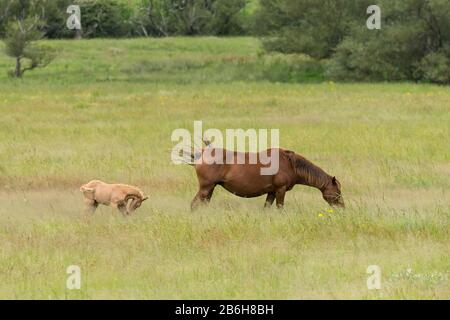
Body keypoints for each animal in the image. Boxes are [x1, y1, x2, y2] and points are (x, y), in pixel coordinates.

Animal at [188, 147, 346, 210]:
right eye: (338, 192)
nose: (342, 208)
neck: (290, 164)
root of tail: (202, 153)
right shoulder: (280, 190)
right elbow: (280, 208)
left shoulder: (272, 192)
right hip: (206, 188)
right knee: (194, 205)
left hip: (210, 189)